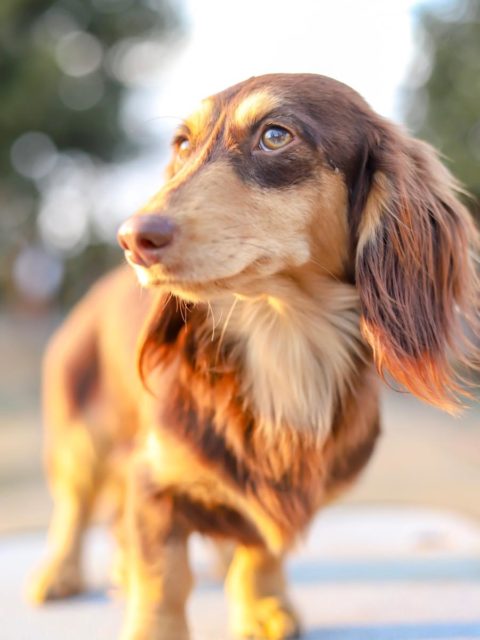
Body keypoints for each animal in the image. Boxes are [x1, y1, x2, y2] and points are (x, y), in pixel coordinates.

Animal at [28, 72, 478, 636]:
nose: (132, 240)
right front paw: (155, 620)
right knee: (75, 505)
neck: (283, 340)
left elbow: (260, 549)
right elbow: (163, 577)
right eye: (182, 145)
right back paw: (60, 574)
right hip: (81, 432)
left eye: (275, 135)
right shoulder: (151, 477)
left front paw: (262, 604)